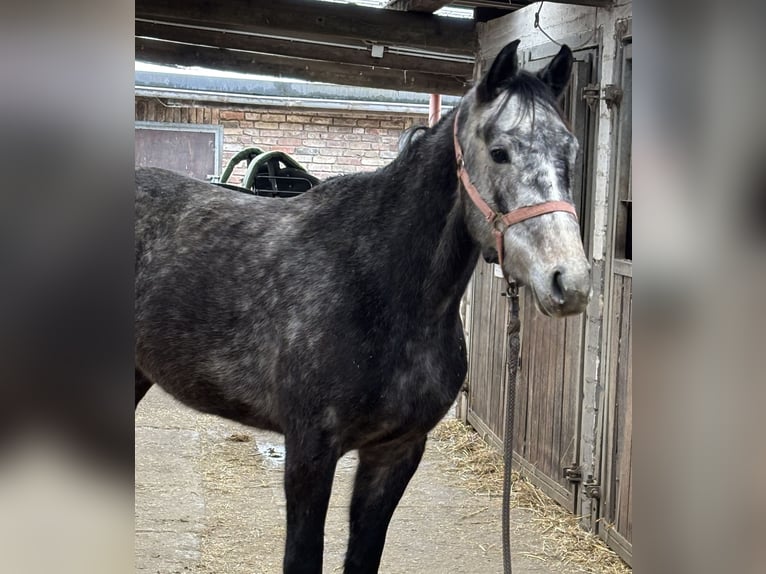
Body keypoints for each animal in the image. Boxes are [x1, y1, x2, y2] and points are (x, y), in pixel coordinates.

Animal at [134, 39, 590, 574]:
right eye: (499, 152)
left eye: (571, 153)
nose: (570, 281)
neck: (378, 288)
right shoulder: (310, 453)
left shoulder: (396, 452)